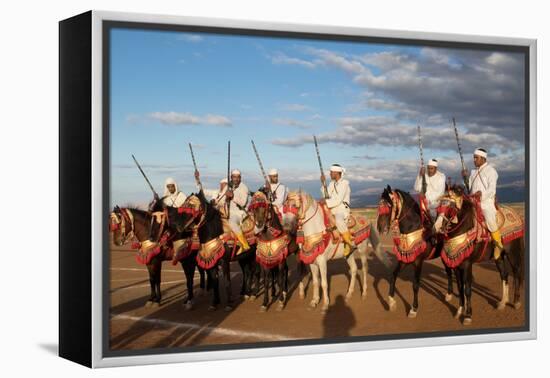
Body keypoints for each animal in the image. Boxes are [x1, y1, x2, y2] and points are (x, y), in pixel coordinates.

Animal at [378, 185, 454, 318]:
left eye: (388, 206)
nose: (379, 228)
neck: (412, 228)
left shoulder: (418, 261)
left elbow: (415, 285)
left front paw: (413, 309)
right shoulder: (405, 258)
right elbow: (393, 275)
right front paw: (392, 302)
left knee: (450, 272)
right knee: (449, 272)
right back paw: (449, 294)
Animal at [436, 186, 528, 324]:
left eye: (451, 207)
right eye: (439, 205)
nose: (436, 227)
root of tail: (515, 215)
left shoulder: (467, 264)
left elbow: (467, 290)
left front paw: (468, 316)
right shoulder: (457, 265)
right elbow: (460, 288)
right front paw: (459, 311)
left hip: (513, 253)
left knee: (517, 272)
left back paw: (516, 302)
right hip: (499, 257)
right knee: (504, 275)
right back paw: (502, 302)